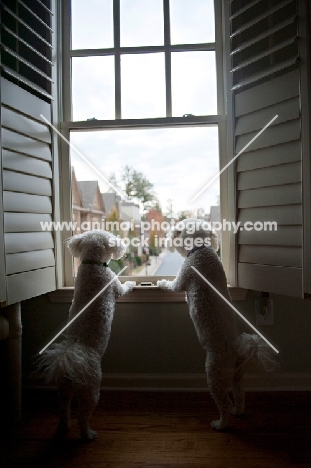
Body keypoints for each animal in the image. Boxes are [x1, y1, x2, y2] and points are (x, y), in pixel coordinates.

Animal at [38, 229, 136, 438]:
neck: (92, 264)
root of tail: (69, 365)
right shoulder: (114, 285)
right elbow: (123, 289)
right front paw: (131, 282)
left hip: (63, 392)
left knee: (64, 410)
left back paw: (63, 429)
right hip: (91, 390)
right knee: (83, 416)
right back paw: (88, 434)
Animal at [158, 218, 278, 430]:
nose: (170, 237)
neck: (201, 249)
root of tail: (237, 351)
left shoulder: (184, 276)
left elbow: (173, 286)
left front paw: (162, 283)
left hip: (214, 372)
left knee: (224, 402)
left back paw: (220, 424)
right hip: (236, 375)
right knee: (239, 393)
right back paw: (238, 411)